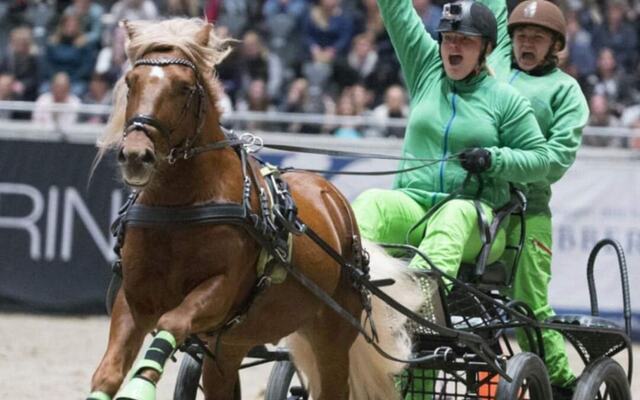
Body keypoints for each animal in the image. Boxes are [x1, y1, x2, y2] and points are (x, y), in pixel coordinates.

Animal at [88, 18, 424, 400]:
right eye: (131, 82)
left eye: (184, 88)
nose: (135, 155)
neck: (182, 209)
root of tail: (337, 203)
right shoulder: (135, 300)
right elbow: (108, 372)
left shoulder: (219, 290)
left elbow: (171, 321)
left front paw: (140, 387)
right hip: (230, 345)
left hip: (333, 335)